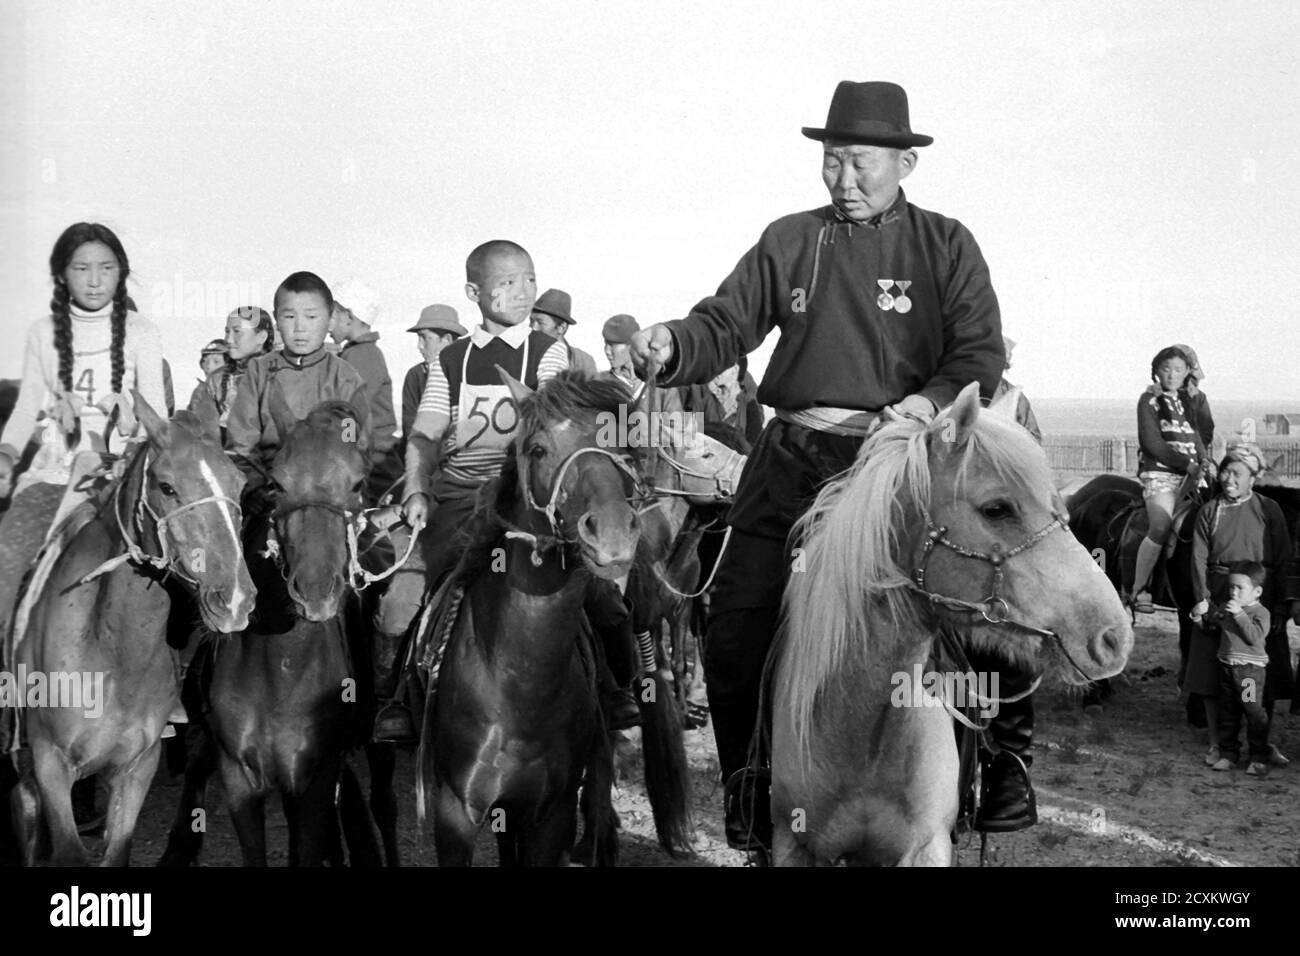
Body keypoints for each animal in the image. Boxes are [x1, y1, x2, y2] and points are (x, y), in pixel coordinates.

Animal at [421, 371, 696, 868]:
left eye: (623, 447)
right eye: (537, 450)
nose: (612, 535)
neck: (517, 684)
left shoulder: (551, 812)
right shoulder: (456, 811)